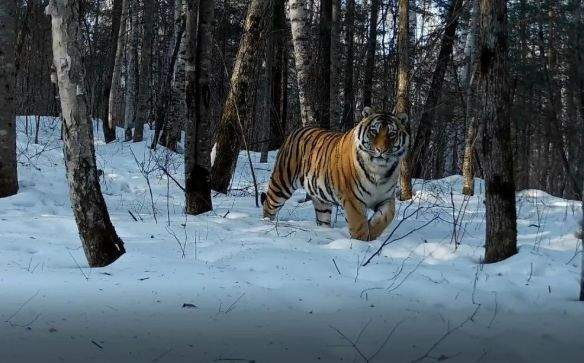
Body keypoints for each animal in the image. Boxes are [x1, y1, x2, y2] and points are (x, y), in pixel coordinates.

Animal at [260, 109, 410, 243]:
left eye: (392, 134)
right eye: (374, 131)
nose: (381, 150)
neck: (379, 170)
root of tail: (296, 131)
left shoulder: (386, 197)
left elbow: (387, 216)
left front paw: (372, 231)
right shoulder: (353, 198)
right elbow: (358, 224)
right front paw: (361, 242)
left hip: (321, 199)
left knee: (322, 218)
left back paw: (324, 232)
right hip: (282, 183)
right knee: (269, 205)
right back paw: (267, 224)